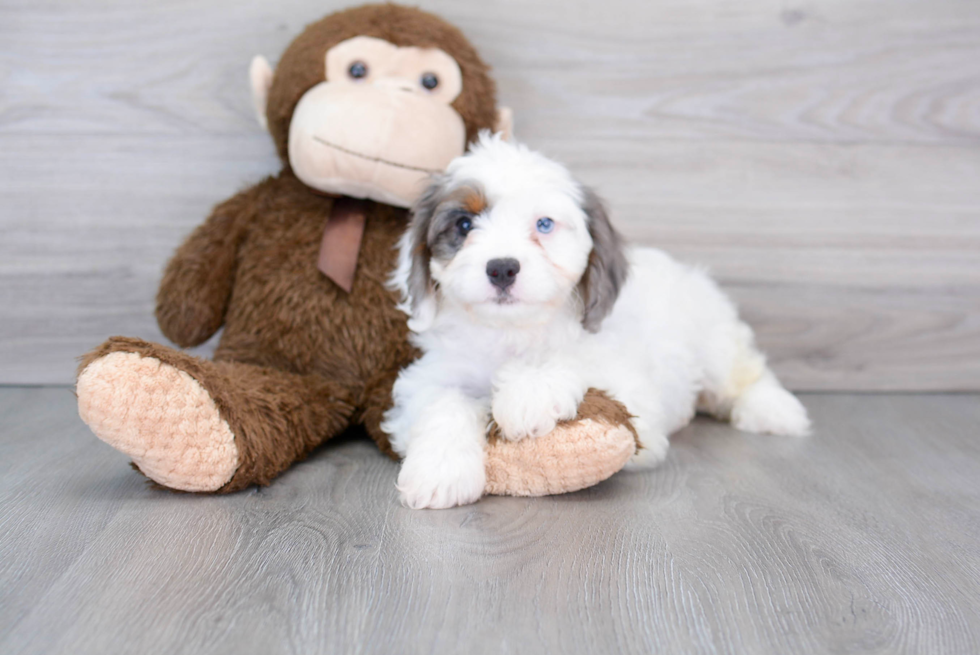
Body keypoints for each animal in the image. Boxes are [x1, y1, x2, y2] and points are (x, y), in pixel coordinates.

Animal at [384, 133, 812, 510]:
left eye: (544, 224)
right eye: (464, 225)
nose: (502, 267)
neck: (513, 333)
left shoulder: (634, 396)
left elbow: (578, 364)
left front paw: (528, 393)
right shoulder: (427, 381)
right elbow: (442, 402)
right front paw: (439, 472)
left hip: (715, 340)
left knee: (745, 374)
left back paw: (774, 410)